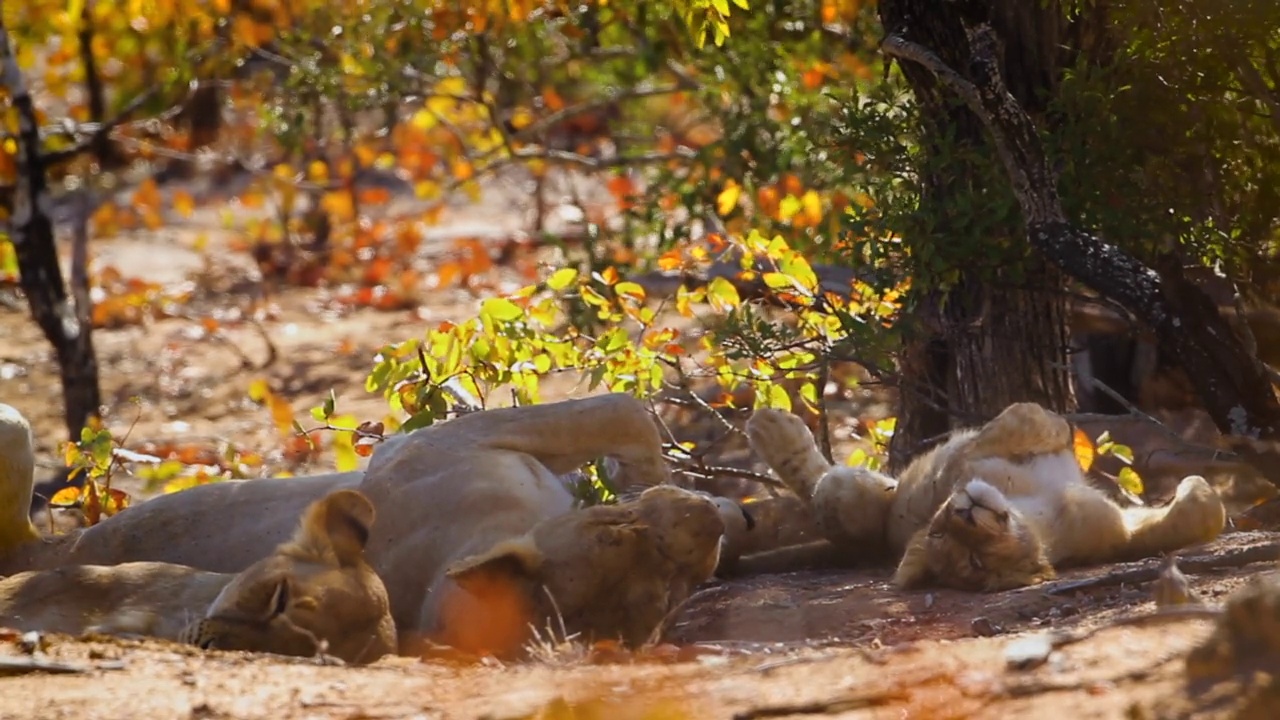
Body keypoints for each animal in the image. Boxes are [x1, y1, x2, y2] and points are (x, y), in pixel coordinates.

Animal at [747, 399, 1223, 586]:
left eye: (939, 534)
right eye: (972, 559)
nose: (965, 511)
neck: (1037, 514)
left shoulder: (1113, 525)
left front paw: (1200, 490)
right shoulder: (960, 468)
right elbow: (1010, 427)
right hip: (850, 499)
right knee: (823, 486)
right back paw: (771, 428)